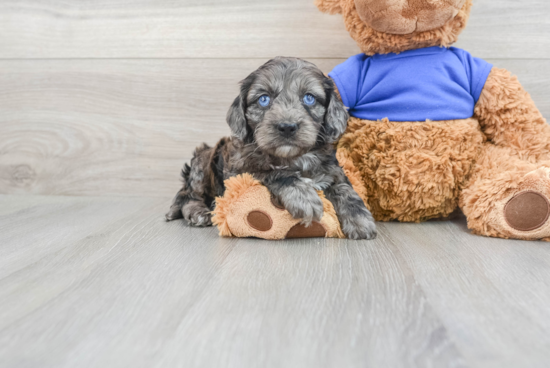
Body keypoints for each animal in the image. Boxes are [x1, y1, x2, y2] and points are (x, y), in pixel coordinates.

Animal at [166, 56, 378, 240]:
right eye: (264, 99)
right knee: (186, 195)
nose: (287, 127)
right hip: (203, 164)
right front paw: (303, 198)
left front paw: (360, 220)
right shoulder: (241, 171)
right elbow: (275, 173)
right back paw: (198, 212)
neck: (293, 158)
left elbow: (345, 188)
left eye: (309, 98)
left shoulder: (333, 170)